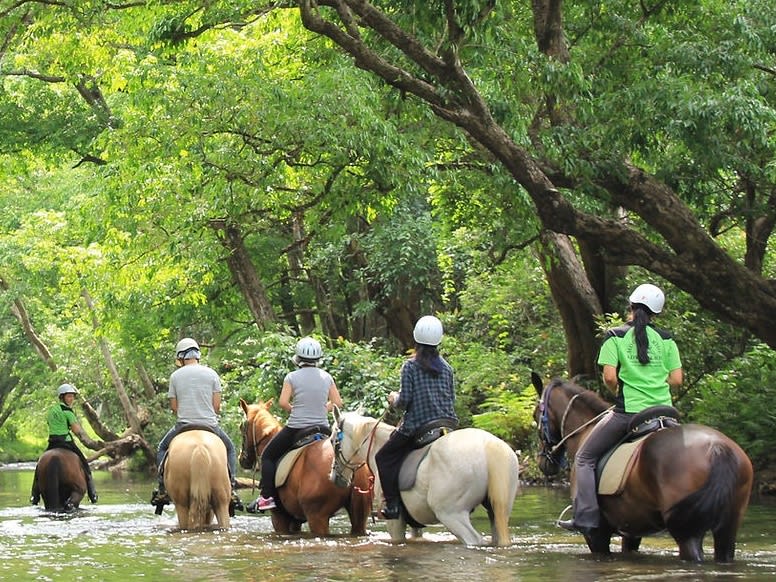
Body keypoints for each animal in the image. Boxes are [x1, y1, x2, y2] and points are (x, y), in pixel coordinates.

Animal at [236, 402, 372, 540]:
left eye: (241, 427)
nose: (241, 459)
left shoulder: (279, 517)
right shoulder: (296, 520)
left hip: (317, 517)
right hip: (359, 517)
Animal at [328, 406, 520, 548]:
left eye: (332, 440)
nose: (334, 477)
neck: (377, 446)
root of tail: (488, 446)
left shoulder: (395, 520)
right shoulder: (414, 522)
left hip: (451, 514)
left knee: (474, 540)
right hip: (497, 510)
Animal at [532, 374, 752, 564]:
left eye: (536, 415)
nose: (543, 463)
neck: (585, 431)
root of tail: (718, 447)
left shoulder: (596, 534)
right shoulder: (631, 531)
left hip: (687, 532)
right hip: (727, 527)